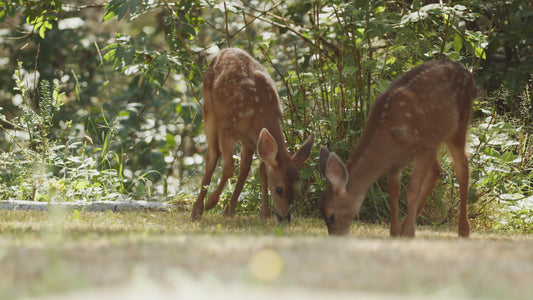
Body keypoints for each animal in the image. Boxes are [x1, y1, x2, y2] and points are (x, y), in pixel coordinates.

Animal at [191, 48, 314, 221]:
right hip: (209, 110)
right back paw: (198, 210)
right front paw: (211, 203)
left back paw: (229, 211)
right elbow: (228, 168)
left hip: (246, 140)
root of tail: (223, 51)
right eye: (279, 189)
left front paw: (264, 213)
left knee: (244, 168)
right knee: (212, 155)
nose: (285, 218)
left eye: (297, 188)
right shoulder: (228, 128)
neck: (259, 112)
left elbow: (260, 171)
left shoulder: (255, 139)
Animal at [318, 61, 476, 238]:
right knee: (437, 169)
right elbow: (393, 189)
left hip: (458, 124)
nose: (335, 237)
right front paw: (395, 232)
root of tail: (466, 71)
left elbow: (412, 188)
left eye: (332, 216)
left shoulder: (425, 145)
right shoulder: (397, 159)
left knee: (462, 166)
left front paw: (409, 233)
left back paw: (463, 229)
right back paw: (404, 224)